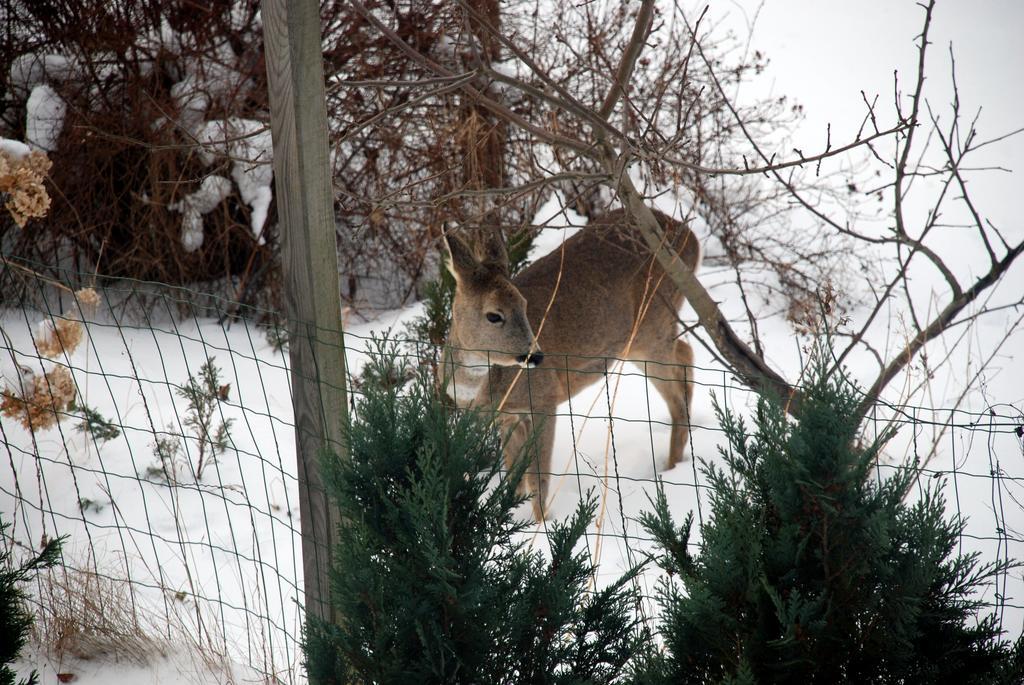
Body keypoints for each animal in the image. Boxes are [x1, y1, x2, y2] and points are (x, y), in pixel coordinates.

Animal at [444, 206, 700, 518]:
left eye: (524, 305)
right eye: (494, 315)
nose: (536, 356)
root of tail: (690, 235)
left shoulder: (544, 399)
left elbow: (538, 477)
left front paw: (541, 524)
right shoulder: (506, 416)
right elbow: (514, 475)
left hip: (651, 325)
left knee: (678, 384)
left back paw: (671, 467)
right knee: (686, 354)